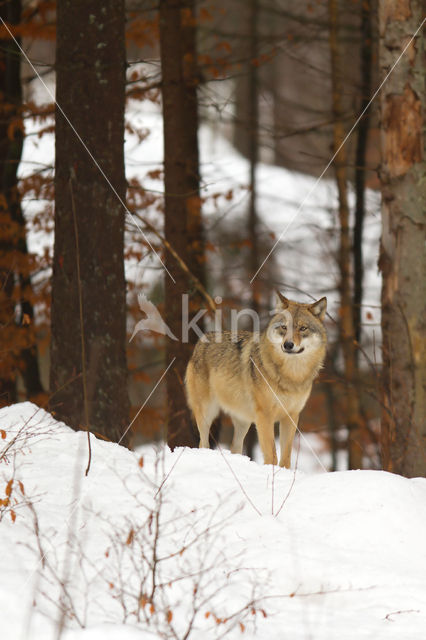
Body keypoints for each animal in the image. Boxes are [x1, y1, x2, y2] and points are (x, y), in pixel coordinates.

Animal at [185, 292, 328, 468]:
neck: (291, 376)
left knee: (235, 447)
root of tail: (203, 338)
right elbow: (272, 454)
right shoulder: (265, 415)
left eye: (303, 328)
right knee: (203, 443)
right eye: (284, 327)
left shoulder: (291, 416)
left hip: (243, 421)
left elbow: (286, 457)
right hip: (207, 412)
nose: (288, 345)